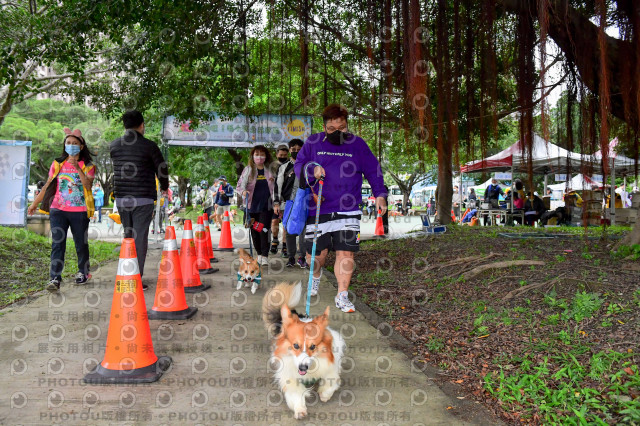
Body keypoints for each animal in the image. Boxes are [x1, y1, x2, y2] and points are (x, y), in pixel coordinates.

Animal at [262, 282, 348, 418]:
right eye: (296, 346)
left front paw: (324, 395)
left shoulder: (331, 367)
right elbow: (295, 393)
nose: (303, 367)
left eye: (313, 347)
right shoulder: (289, 376)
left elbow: (331, 381)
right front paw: (300, 409)